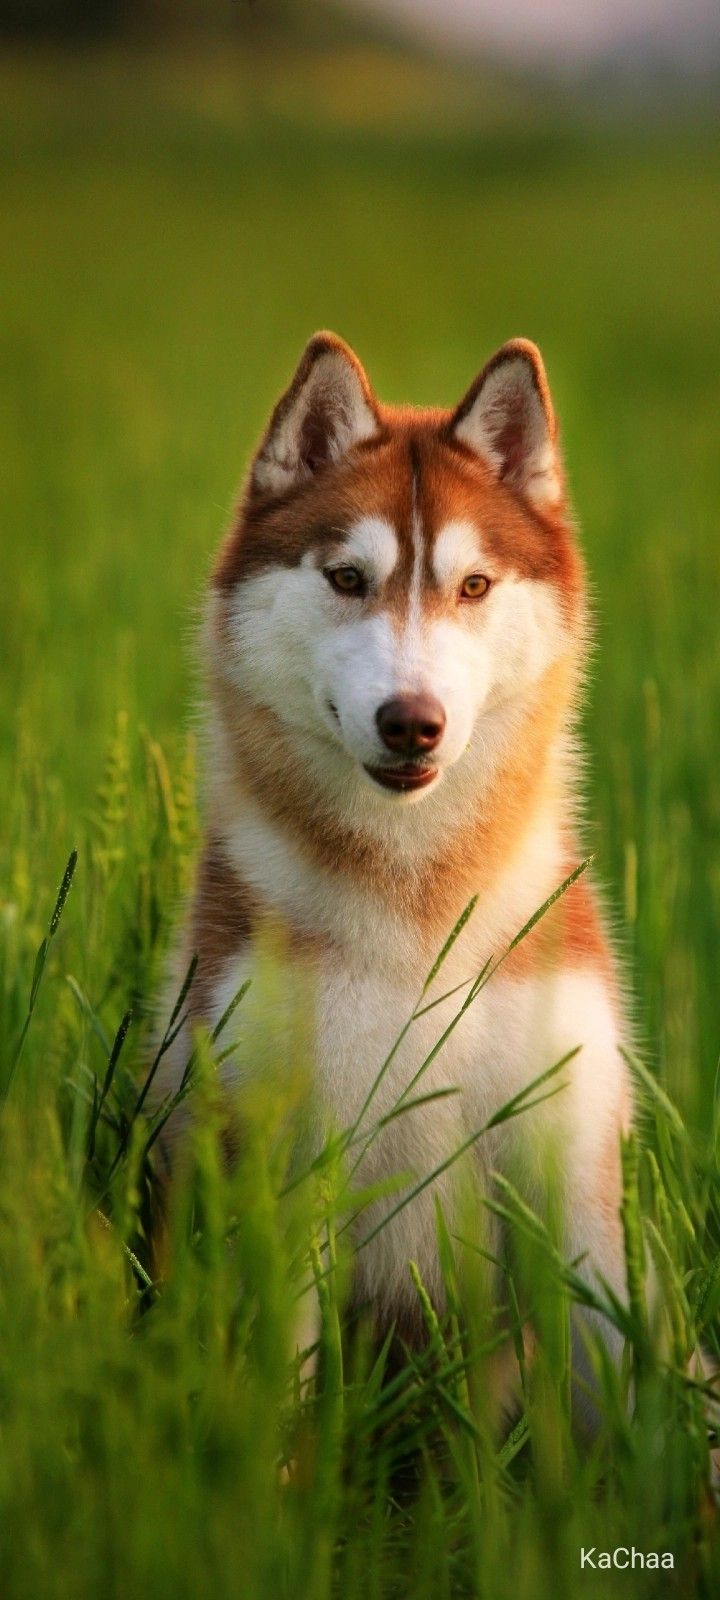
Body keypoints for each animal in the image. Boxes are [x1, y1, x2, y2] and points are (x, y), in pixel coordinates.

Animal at [157, 334, 630, 1388]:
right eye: (345, 578)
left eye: (475, 586)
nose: (412, 722)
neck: (416, 898)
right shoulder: (280, 1161)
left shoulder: (571, 1177)